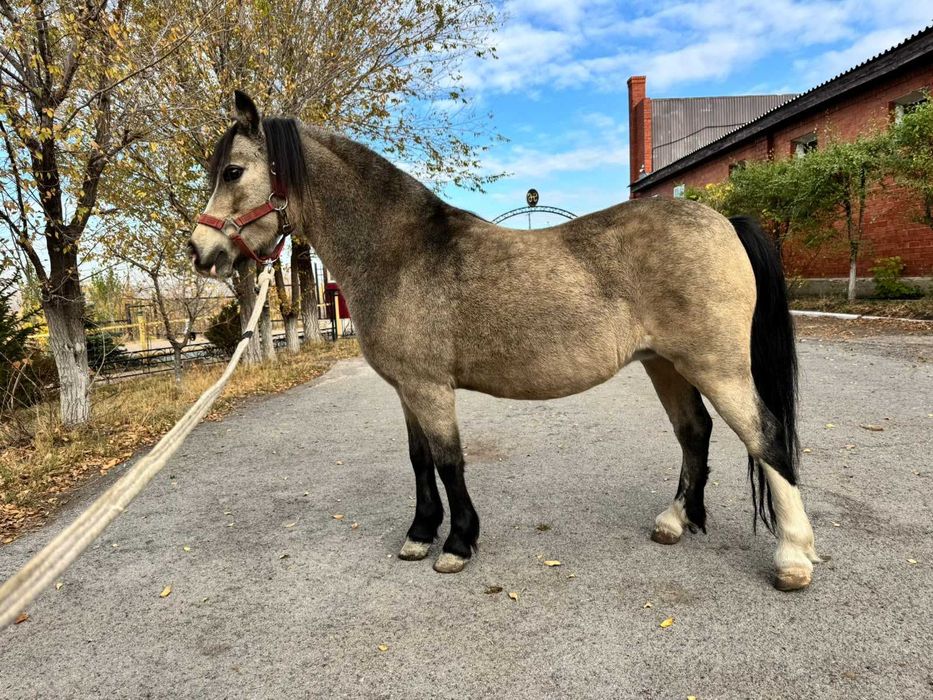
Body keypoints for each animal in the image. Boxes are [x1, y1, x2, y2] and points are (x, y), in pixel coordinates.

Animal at [188, 92, 822, 591]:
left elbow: (449, 461)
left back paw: (793, 557)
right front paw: (420, 534)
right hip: (665, 363)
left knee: (766, 437)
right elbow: (420, 460)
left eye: (233, 172)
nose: (201, 252)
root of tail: (725, 223)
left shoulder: (429, 387)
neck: (402, 253)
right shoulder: (408, 389)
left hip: (717, 366)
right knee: (695, 433)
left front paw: (457, 545)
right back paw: (675, 521)